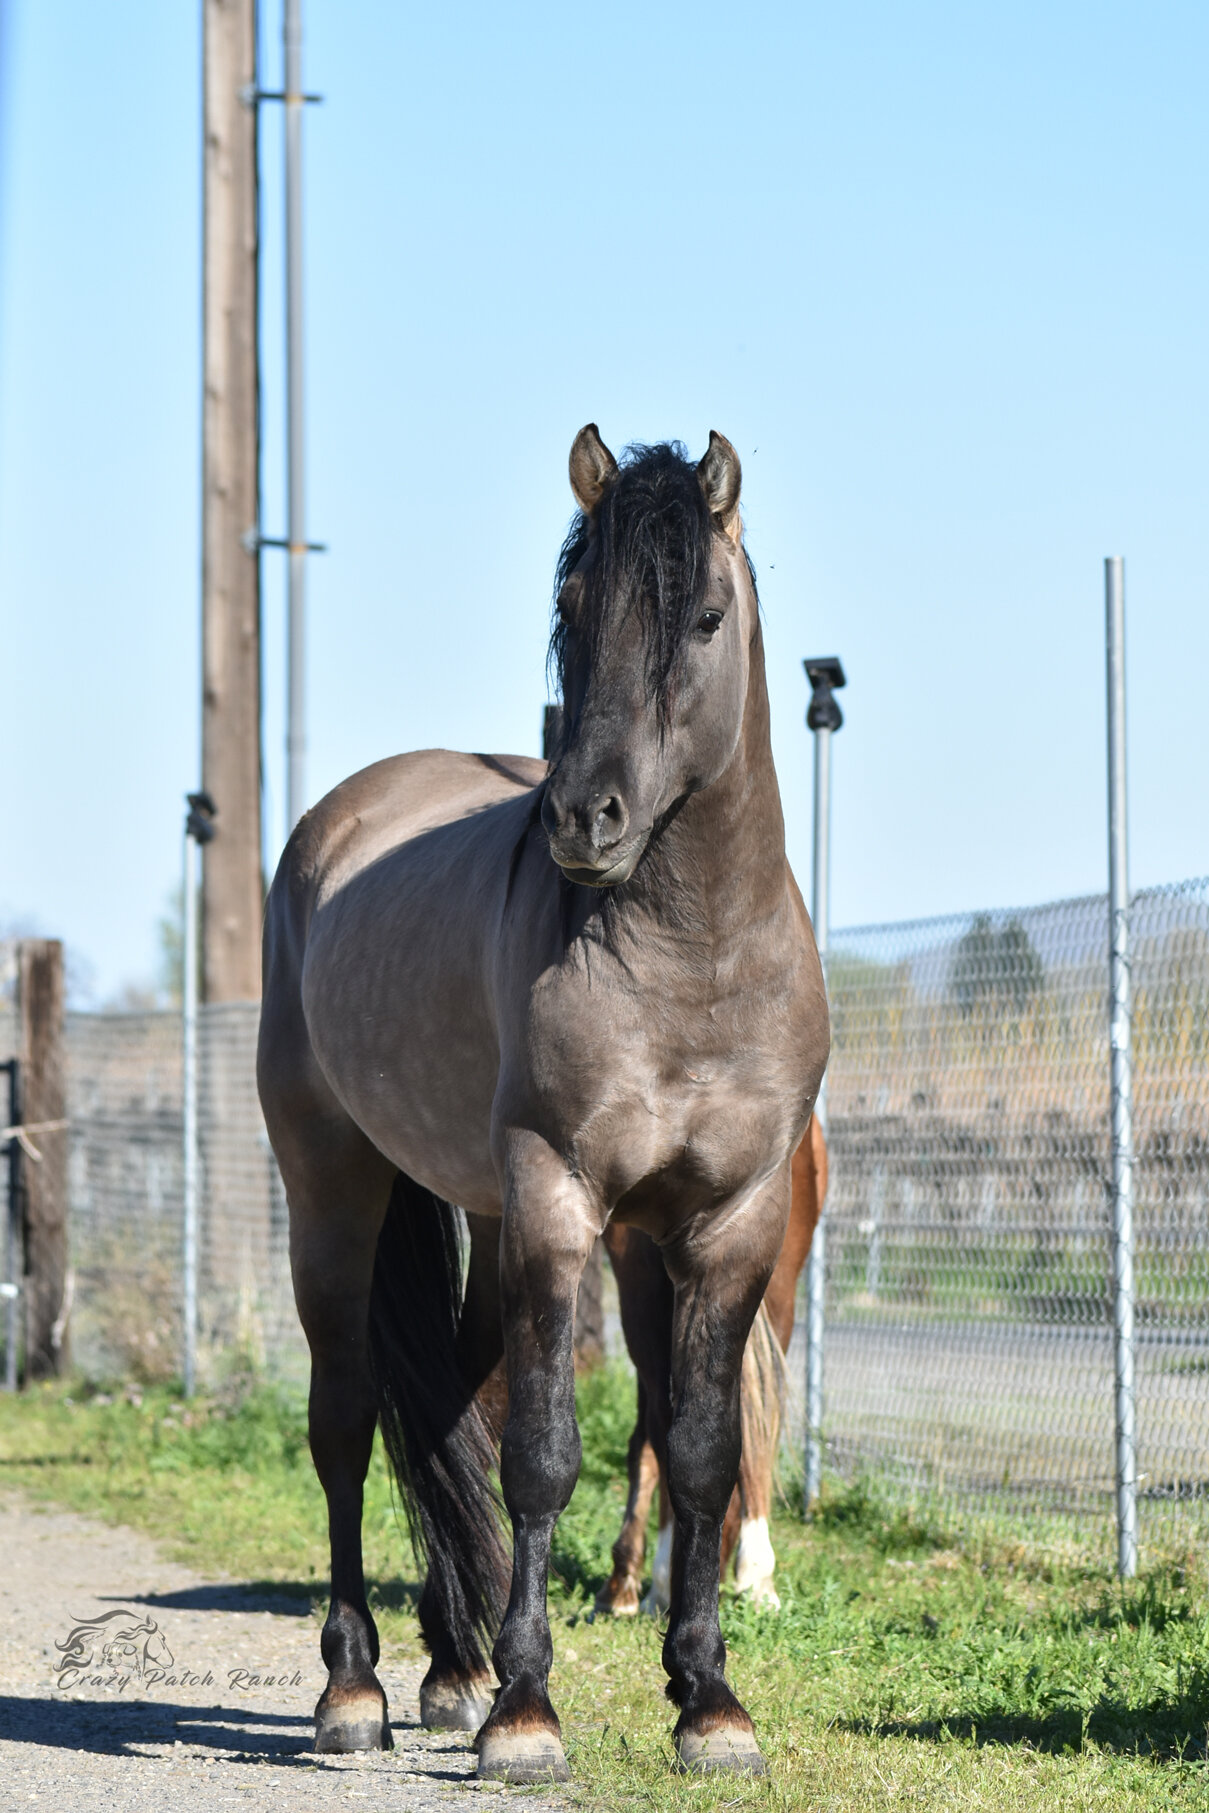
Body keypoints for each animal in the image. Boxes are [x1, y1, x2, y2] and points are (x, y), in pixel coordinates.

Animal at [599, 1118, 827, 1618]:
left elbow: (644, 1442)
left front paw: (623, 1584)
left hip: (641, 1294)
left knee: (665, 1424)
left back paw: (665, 1583)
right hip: (777, 1289)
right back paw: (755, 1575)